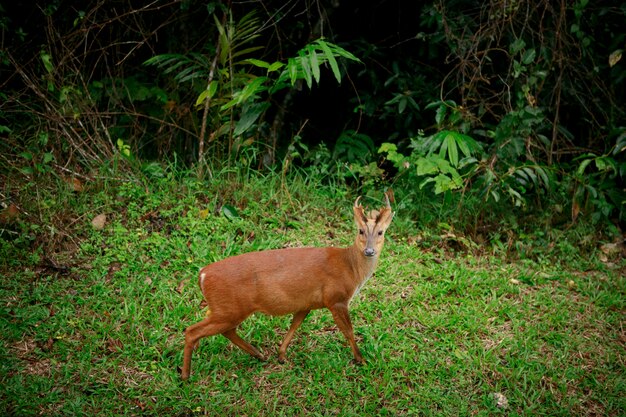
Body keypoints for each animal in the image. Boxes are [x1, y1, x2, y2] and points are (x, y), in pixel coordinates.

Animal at [180, 193, 392, 378]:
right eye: (361, 231)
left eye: (381, 232)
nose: (369, 251)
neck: (350, 267)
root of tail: (202, 274)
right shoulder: (336, 298)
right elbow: (349, 331)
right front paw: (361, 359)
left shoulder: (307, 303)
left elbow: (295, 324)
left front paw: (281, 355)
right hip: (229, 309)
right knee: (193, 331)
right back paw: (185, 375)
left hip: (223, 308)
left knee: (224, 330)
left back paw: (258, 354)